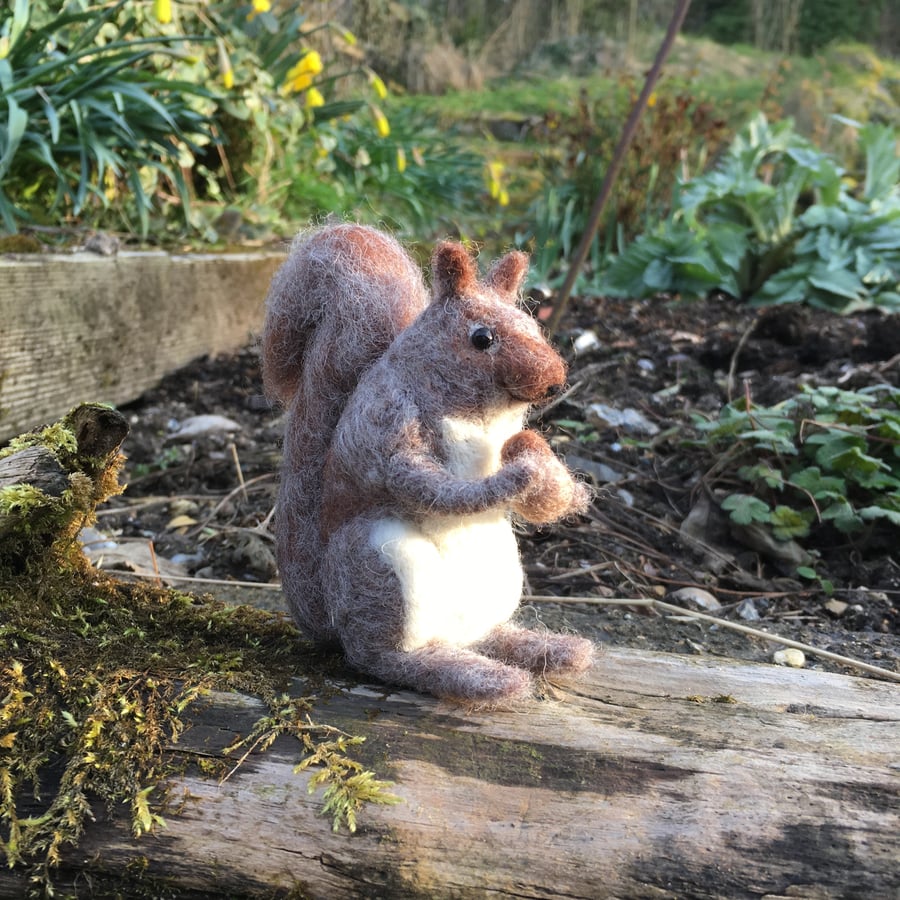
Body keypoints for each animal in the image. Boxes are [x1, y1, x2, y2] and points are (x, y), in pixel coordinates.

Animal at [264, 223, 596, 704]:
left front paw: (544, 469)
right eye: (481, 338)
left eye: (533, 326)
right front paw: (516, 476)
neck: (478, 415)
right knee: (382, 657)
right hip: (381, 566)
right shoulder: (384, 427)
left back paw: (546, 648)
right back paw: (475, 675)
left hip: (498, 582)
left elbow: (553, 499)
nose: (554, 380)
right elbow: (428, 485)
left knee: (486, 636)